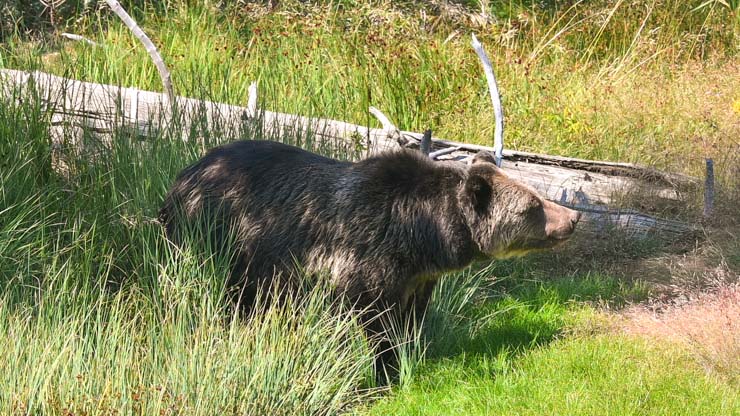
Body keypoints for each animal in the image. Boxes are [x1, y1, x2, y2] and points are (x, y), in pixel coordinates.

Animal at [159, 140, 580, 316]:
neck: (424, 233)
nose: (574, 218)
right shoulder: (366, 259)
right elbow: (375, 322)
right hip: (221, 231)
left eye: (538, 195)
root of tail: (183, 174)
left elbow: (412, 319)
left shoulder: (418, 276)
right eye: (533, 205)